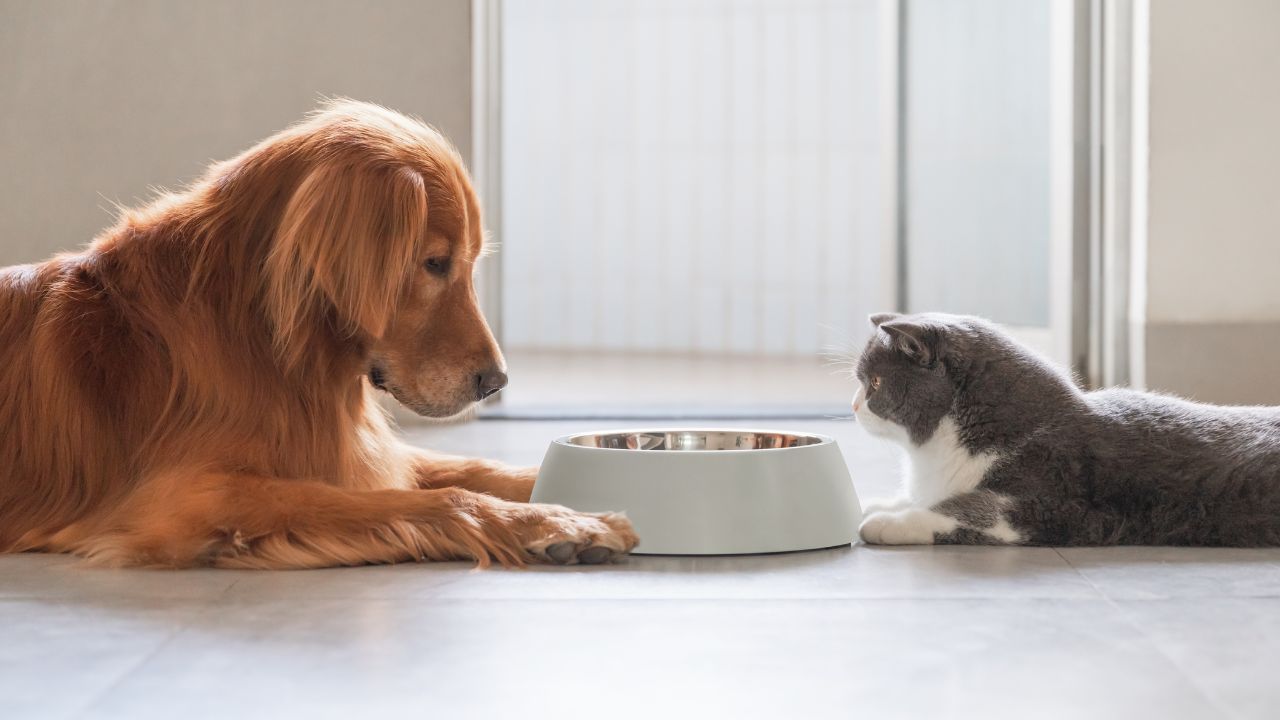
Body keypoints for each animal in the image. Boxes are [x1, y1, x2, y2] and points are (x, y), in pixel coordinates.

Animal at [0, 99, 637, 566]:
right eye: (434, 263)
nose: (496, 382)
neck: (261, 337)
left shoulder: (354, 450)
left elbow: (472, 469)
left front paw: (558, 491)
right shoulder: (189, 496)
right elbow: (436, 497)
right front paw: (556, 521)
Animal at [855, 310, 1280, 543]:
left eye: (873, 382)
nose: (855, 405)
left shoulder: (1048, 502)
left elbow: (963, 508)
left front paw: (885, 522)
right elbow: (924, 497)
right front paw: (875, 503)